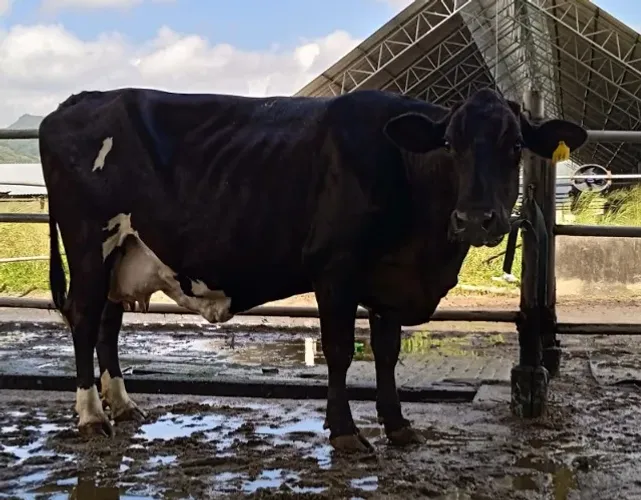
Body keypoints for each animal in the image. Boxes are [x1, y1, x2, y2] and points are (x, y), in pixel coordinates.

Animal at [38, 87, 587, 453]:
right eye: (449, 144)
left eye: (515, 145)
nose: (475, 218)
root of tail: (79, 100)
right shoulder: (335, 269)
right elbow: (341, 352)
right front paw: (345, 431)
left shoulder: (388, 281)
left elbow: (387, 355)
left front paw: (397, 425)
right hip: (90, 245)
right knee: (84, 321)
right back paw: (91, 417)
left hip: (123, 254)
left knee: (107, 324)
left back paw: (123, 405)